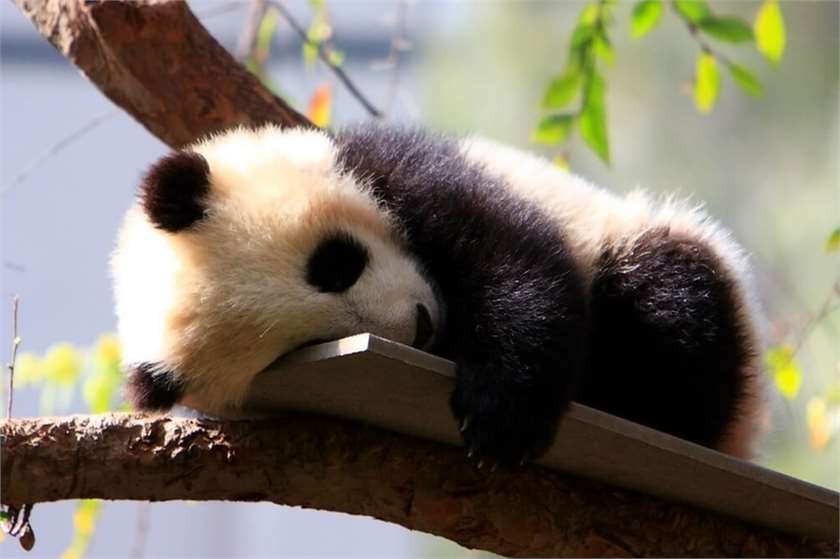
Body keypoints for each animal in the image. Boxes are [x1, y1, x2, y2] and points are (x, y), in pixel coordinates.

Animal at [112, 123, 765, 467]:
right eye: (309, 345)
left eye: (335, 264)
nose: (422, 327)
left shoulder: (402, 168)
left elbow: (514, 258)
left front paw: (501, 417)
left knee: (670, 304)